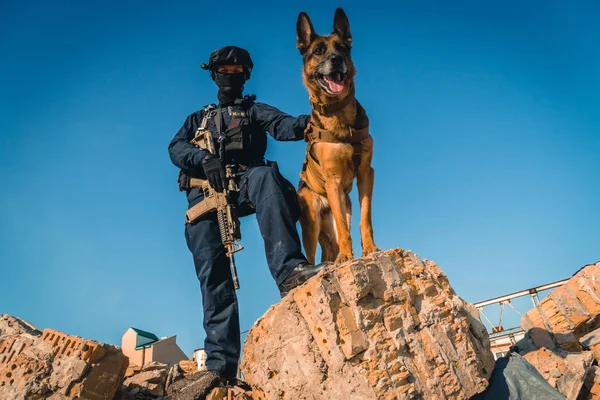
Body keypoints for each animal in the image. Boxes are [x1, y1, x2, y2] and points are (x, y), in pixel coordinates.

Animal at [296, 7, 380, 264]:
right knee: (312, 255)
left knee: (329, 249)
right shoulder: (333, 182)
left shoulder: (366, 173)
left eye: (342, 48)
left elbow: (366, 219)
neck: (340, 119)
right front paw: (346, 257)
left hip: (339, 213)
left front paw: (370, 249)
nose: (337, 60)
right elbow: (344, 228)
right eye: (318, 51)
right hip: (312, 224)